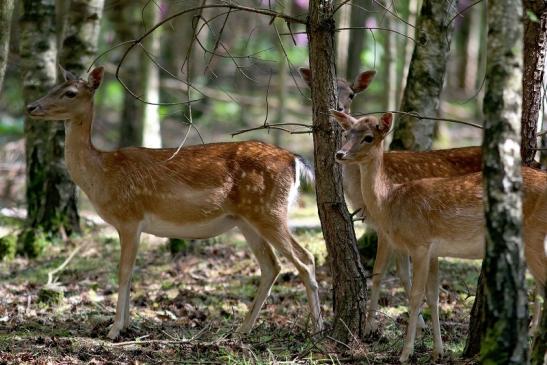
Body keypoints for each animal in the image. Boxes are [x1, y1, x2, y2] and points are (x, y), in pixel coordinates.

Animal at [300, 67, 484, 334]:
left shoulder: (389, 228)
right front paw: (418, 323)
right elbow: (399, 273)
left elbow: (382, 272)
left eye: (352, 94)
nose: (340, 108)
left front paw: (371, 326)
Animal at [332, 110, 547, 362]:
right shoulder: (433, 251)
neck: (389, 202)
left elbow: (415, 296)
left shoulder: (420, 244)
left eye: (368, 137)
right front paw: (438, 351)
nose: (340, 154)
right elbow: (432, 296)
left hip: (533, 235)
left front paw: (405, 353)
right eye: (346, 133)